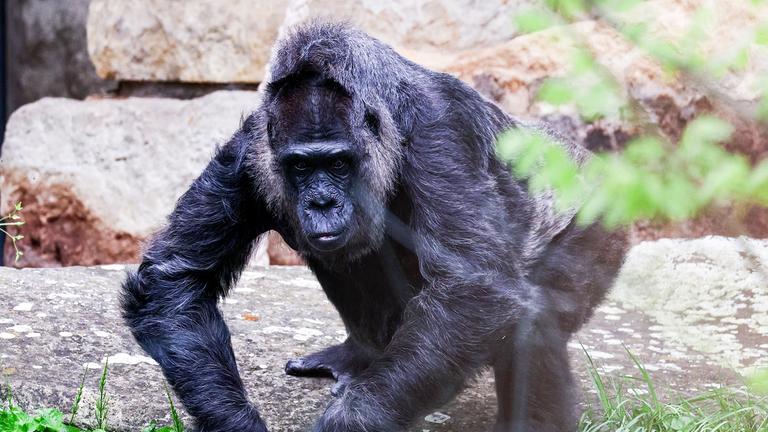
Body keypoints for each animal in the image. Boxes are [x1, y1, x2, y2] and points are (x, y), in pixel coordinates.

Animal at [122, 22, 628, 432]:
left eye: (338, 164)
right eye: (300, 166)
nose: (322, 202)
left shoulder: (439, 130)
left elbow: (475, 290)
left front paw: (349, 423)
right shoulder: (247, 154)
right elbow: (175, 280)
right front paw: (234, 423)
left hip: (601, 220)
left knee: (539, 311)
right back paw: (361, 352)